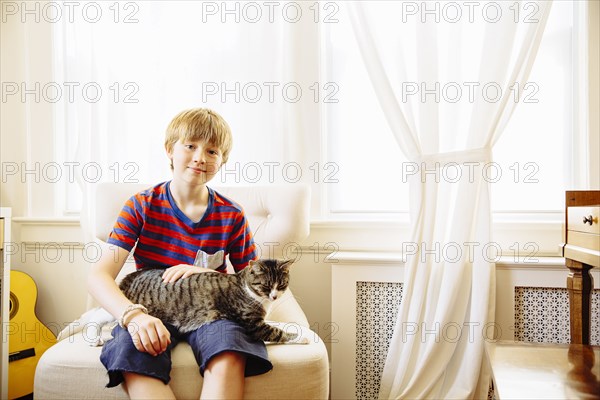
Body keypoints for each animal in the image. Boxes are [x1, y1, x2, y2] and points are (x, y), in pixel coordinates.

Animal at [115, 258, 308, 346]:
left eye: (281, 284)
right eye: (266, 285)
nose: (274, 296)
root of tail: (133, 276)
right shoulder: (253, 324)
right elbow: (277, 332)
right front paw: (301, 337)